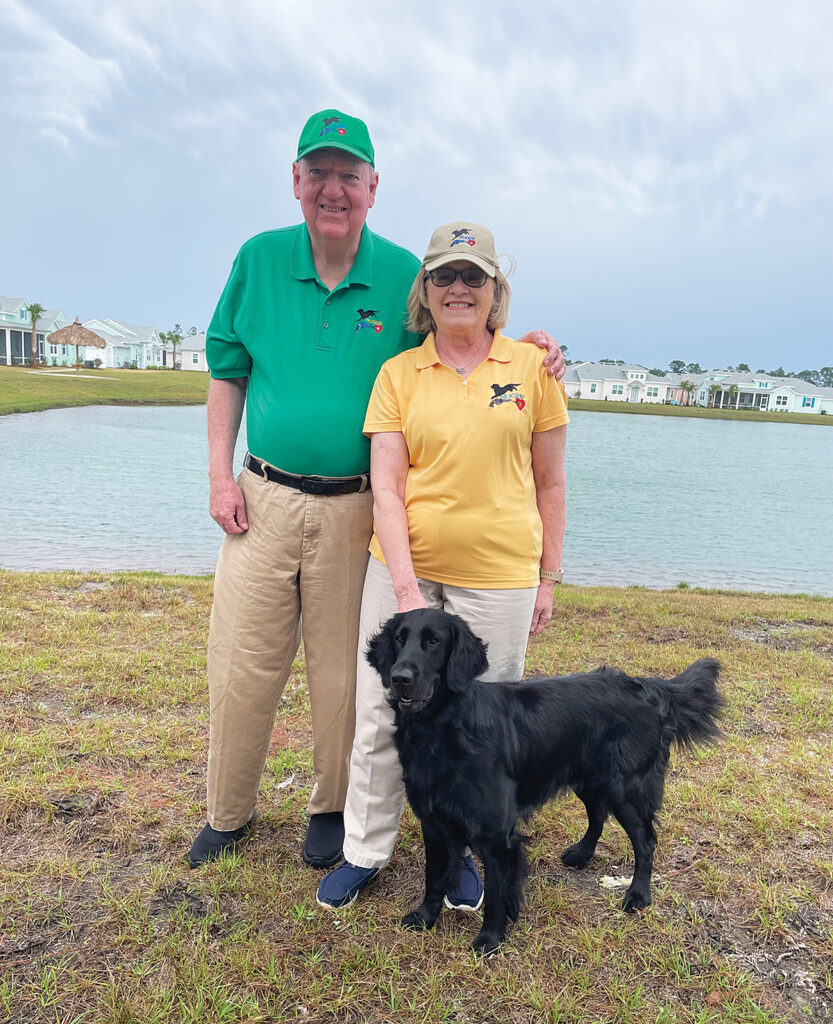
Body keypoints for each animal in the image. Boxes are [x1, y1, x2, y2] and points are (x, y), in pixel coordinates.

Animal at [364, 606, 721, 950]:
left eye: (434, 641)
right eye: (399, 639)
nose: (399, 678)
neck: (441, 730)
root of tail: (647, 687)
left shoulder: (497, 836)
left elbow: (497, 894)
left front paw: (489, 939)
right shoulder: (433, 822)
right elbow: (434, 877)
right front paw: (424, 918)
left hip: (626, 789)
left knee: (645, 841)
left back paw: (638, 895)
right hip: (589, 780)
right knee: (598, 815)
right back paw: (582, 854)